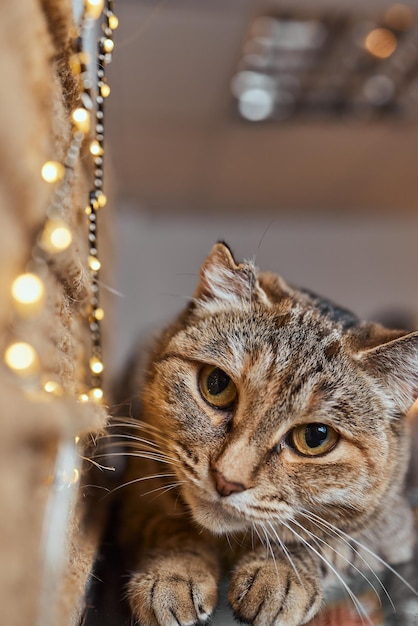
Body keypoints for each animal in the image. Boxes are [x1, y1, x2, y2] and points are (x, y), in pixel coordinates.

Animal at [112, 241, 418, 620]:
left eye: (316, 437)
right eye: (216, 384)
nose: (226, 481)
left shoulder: (395, 536)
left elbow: (329, 542)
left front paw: (279, 574)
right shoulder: (134, 499)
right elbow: (168, 525)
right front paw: (174, 572)